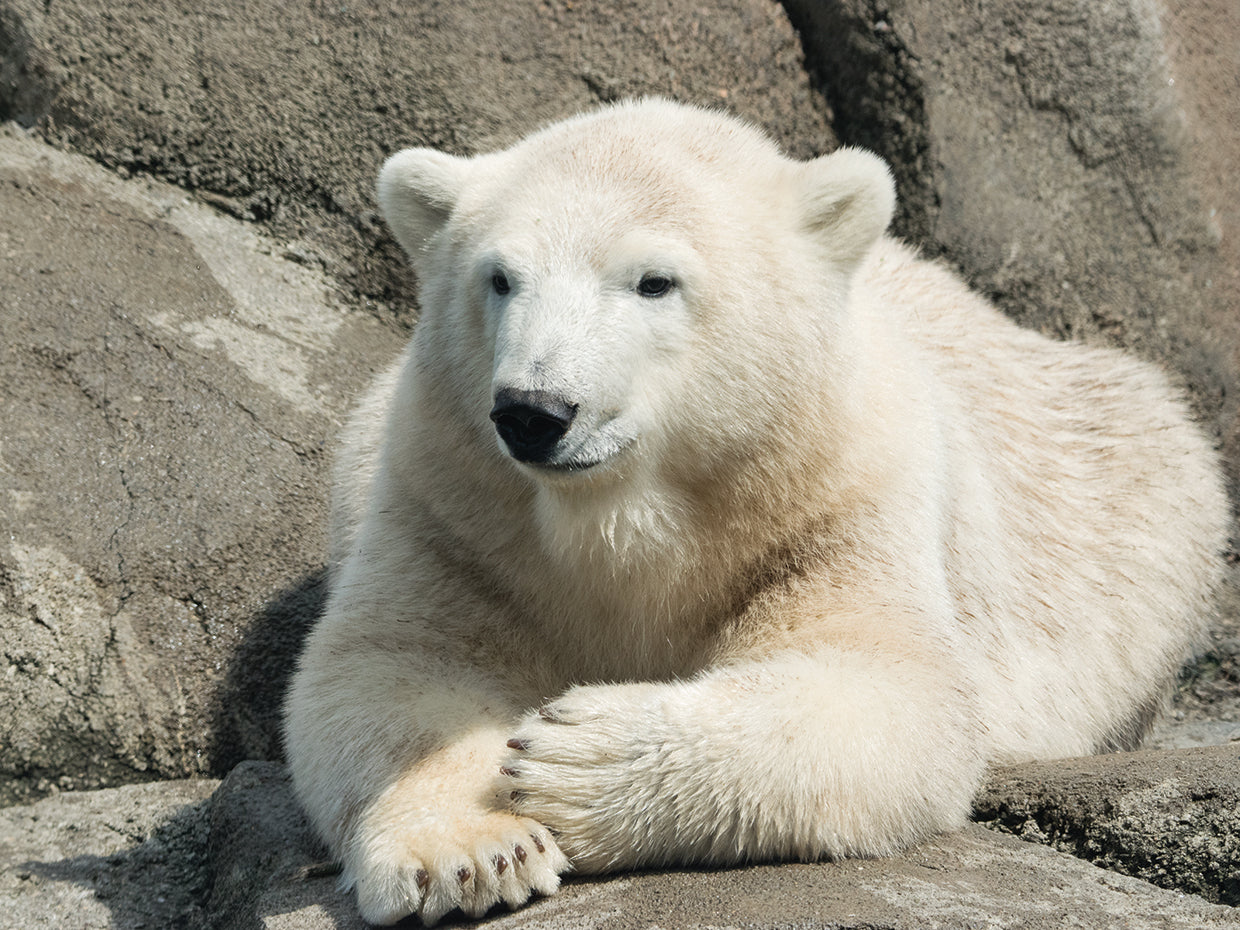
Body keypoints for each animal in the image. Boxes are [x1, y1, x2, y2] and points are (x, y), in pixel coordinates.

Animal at [284, 98, 1229, 926]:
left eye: (654, 281)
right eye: (500, 278)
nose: (534, 410)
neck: (616, 515)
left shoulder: (837, 497)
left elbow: (887, 686)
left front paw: (574, 756)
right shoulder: (451, 503)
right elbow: (390, 667)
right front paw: (475, 853)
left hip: (1127, 497)